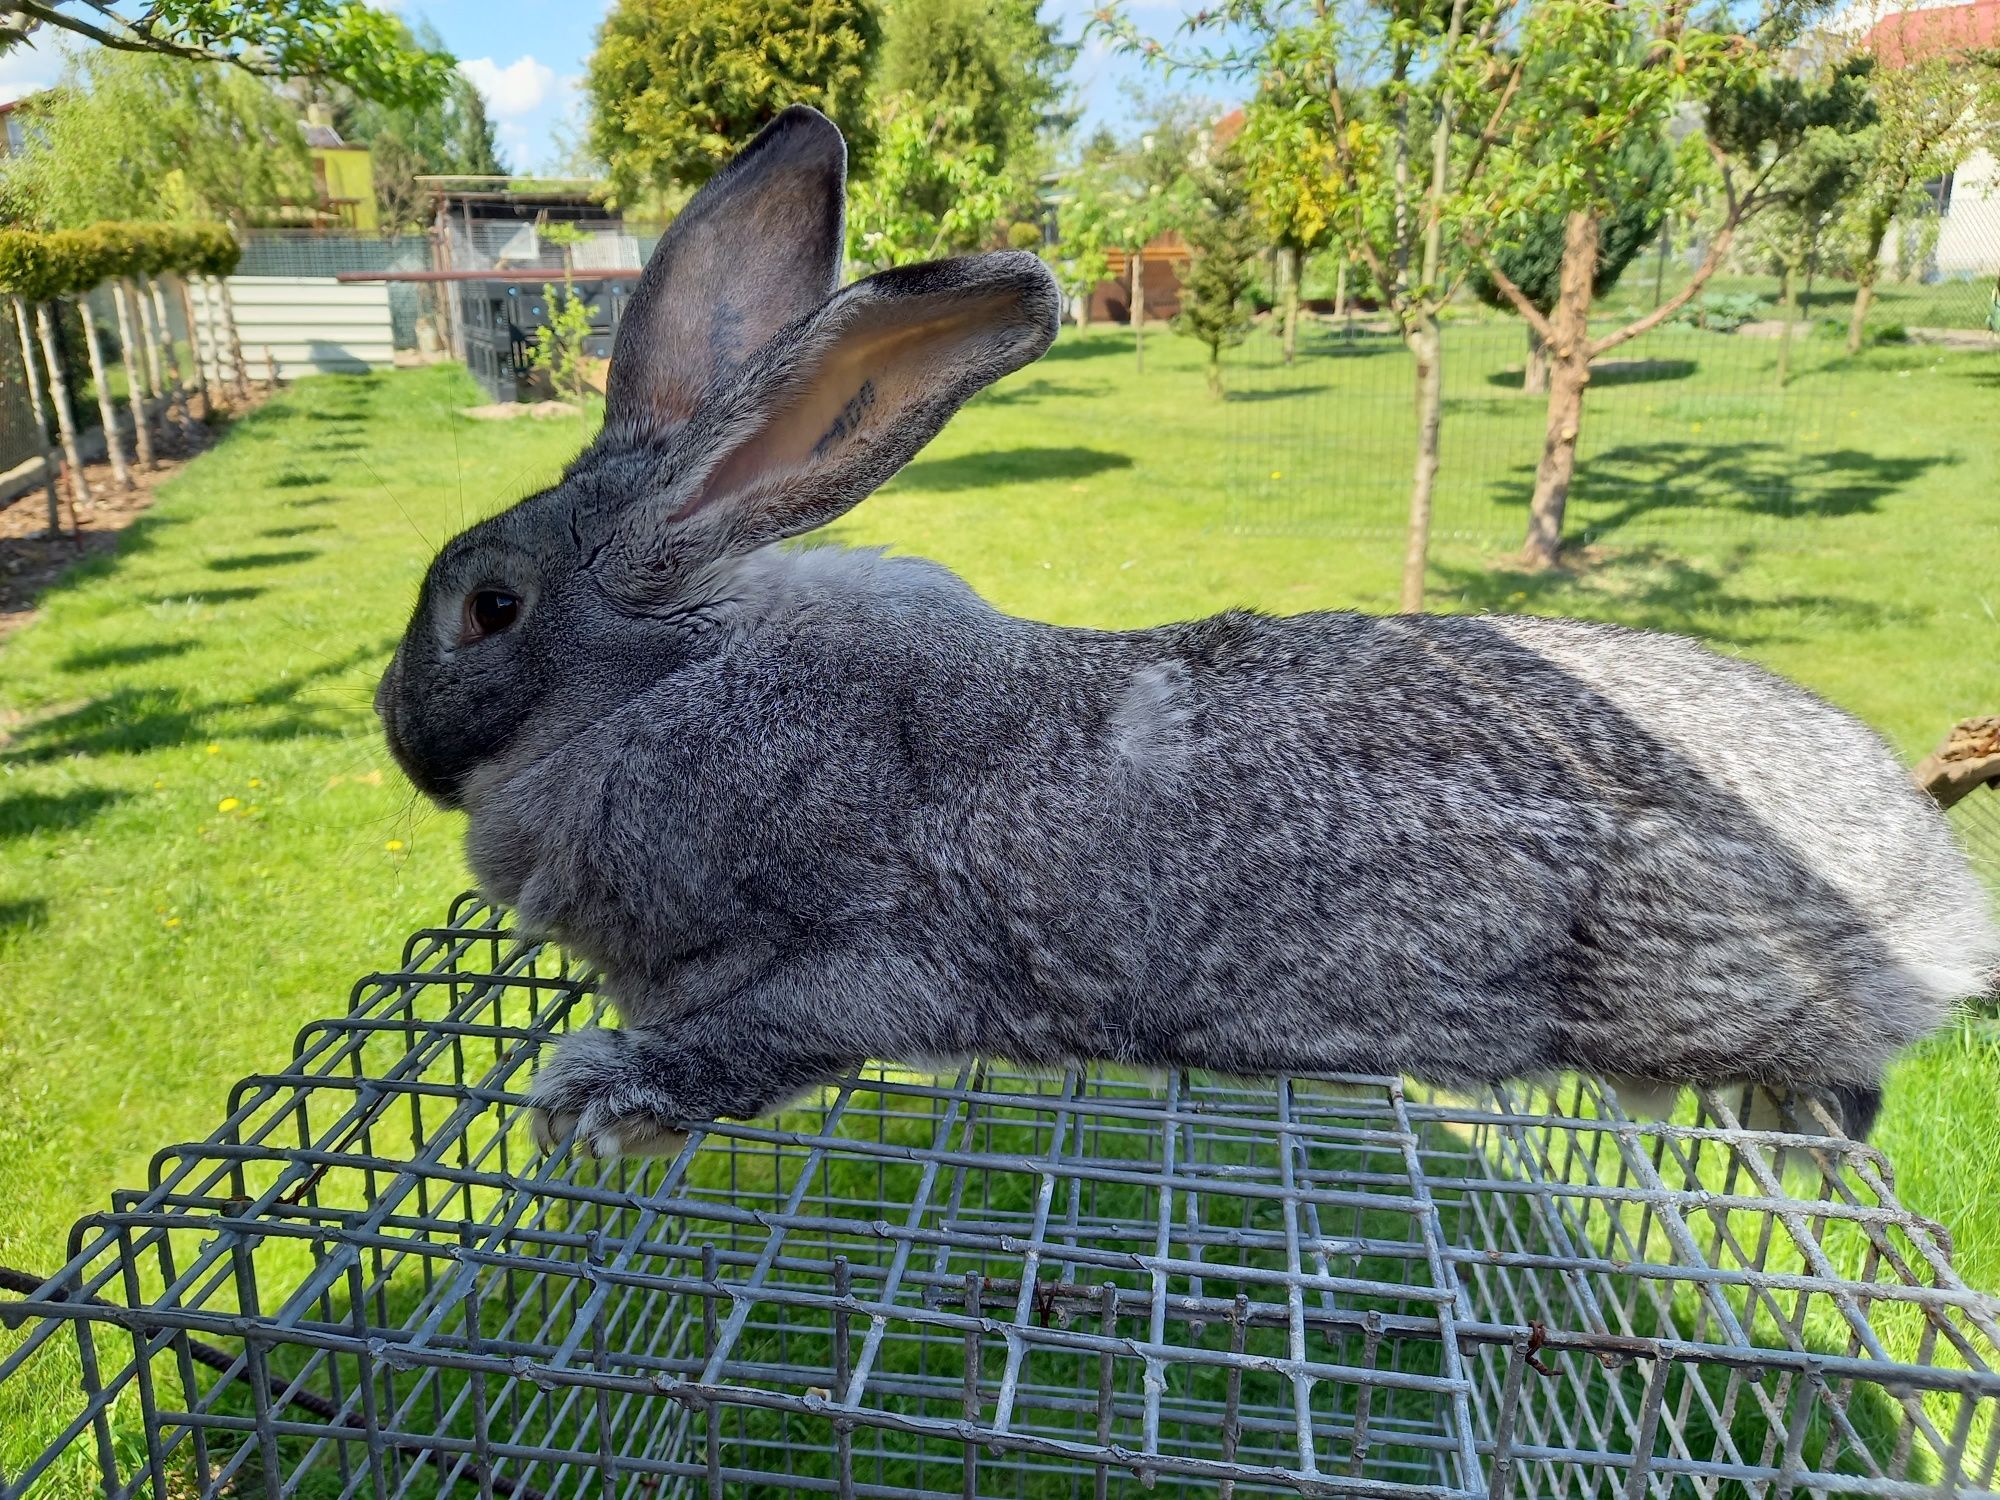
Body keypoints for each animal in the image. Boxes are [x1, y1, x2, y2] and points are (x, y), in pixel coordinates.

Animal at [376, 108, 1984, 1160]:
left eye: (487, 607)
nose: (398, 737)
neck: (663, 678)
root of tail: (1937, 902)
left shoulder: (875, 954)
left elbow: (759, 1042)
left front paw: (597, 1101)